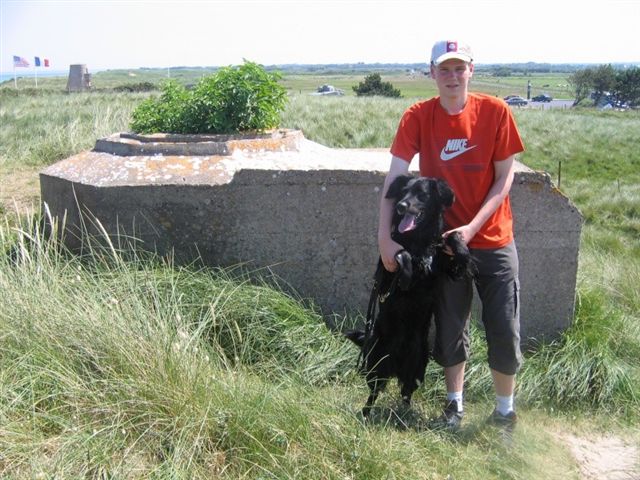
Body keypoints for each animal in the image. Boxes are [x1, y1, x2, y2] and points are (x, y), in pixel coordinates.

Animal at [344, 175, 476, 416]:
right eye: (402, 192)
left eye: (421, 194)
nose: (400, 206)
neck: (419, 241)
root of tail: (396, 363)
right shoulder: (385, 276)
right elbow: (401, 254)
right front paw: (406, 275)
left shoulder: (449, 269)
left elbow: (453, 239)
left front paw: (463, 252)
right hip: (376, 361)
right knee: (373, 392)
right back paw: (366, 414)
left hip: (417, 365)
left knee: (406, 393)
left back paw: (404, 415)